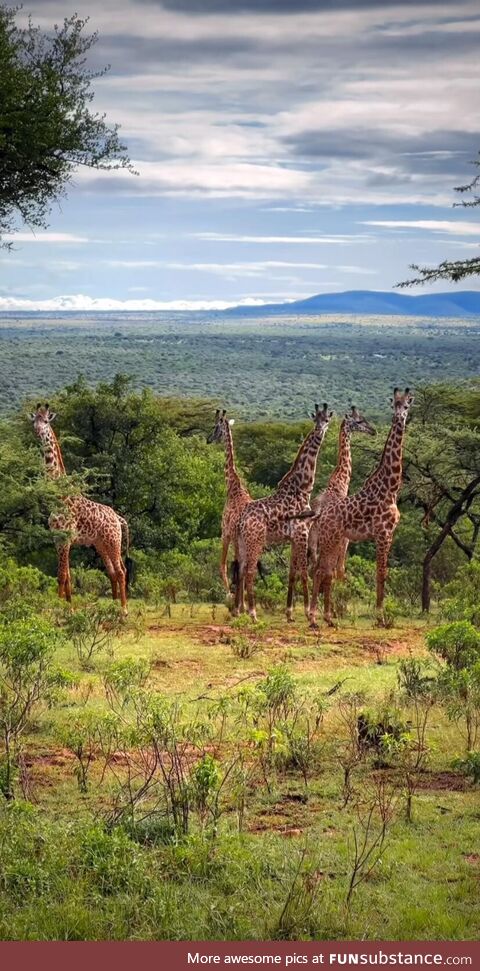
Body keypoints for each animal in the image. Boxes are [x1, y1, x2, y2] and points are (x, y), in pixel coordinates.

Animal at [31, 402, 130, 616]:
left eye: (46, 420)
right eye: (33, 420)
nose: (37, 430)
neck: (59, 497)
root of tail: (118, 518)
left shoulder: (66, 538)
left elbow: (61, 575)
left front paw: (58, 608)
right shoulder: (58, 538)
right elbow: (67, 575)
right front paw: (68, 607)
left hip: (113, 540)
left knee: (121, 571)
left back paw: (124, 610)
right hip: (101, 544)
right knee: (112, 572)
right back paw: (112, 606)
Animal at [233, 404, 332, 624]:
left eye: (326, 420)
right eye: (316, 419)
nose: (320, 431)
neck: (302, 488)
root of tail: (241, 521)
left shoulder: (294, 537)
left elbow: (292, 572)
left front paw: (290, 613)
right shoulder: (302, 532)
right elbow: (303, 571)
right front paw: (307, 613)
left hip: (243, 542)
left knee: (241, 570)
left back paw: (238, 611)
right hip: (257, 540)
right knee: (250, 571)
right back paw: (252, 614)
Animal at [306, 388, 414, 632]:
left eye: (406, 406)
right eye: (394, 404)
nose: (399, 417)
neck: (390, 487)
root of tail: (320, 516)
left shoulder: (386, 534)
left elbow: (379, 573)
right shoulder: (382, 534)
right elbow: (380, 573)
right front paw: (380, 617)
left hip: (326, 541)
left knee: (318, 569)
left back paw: (322, 616)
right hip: (331, 540)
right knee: (321, 570)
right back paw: (316, 618)